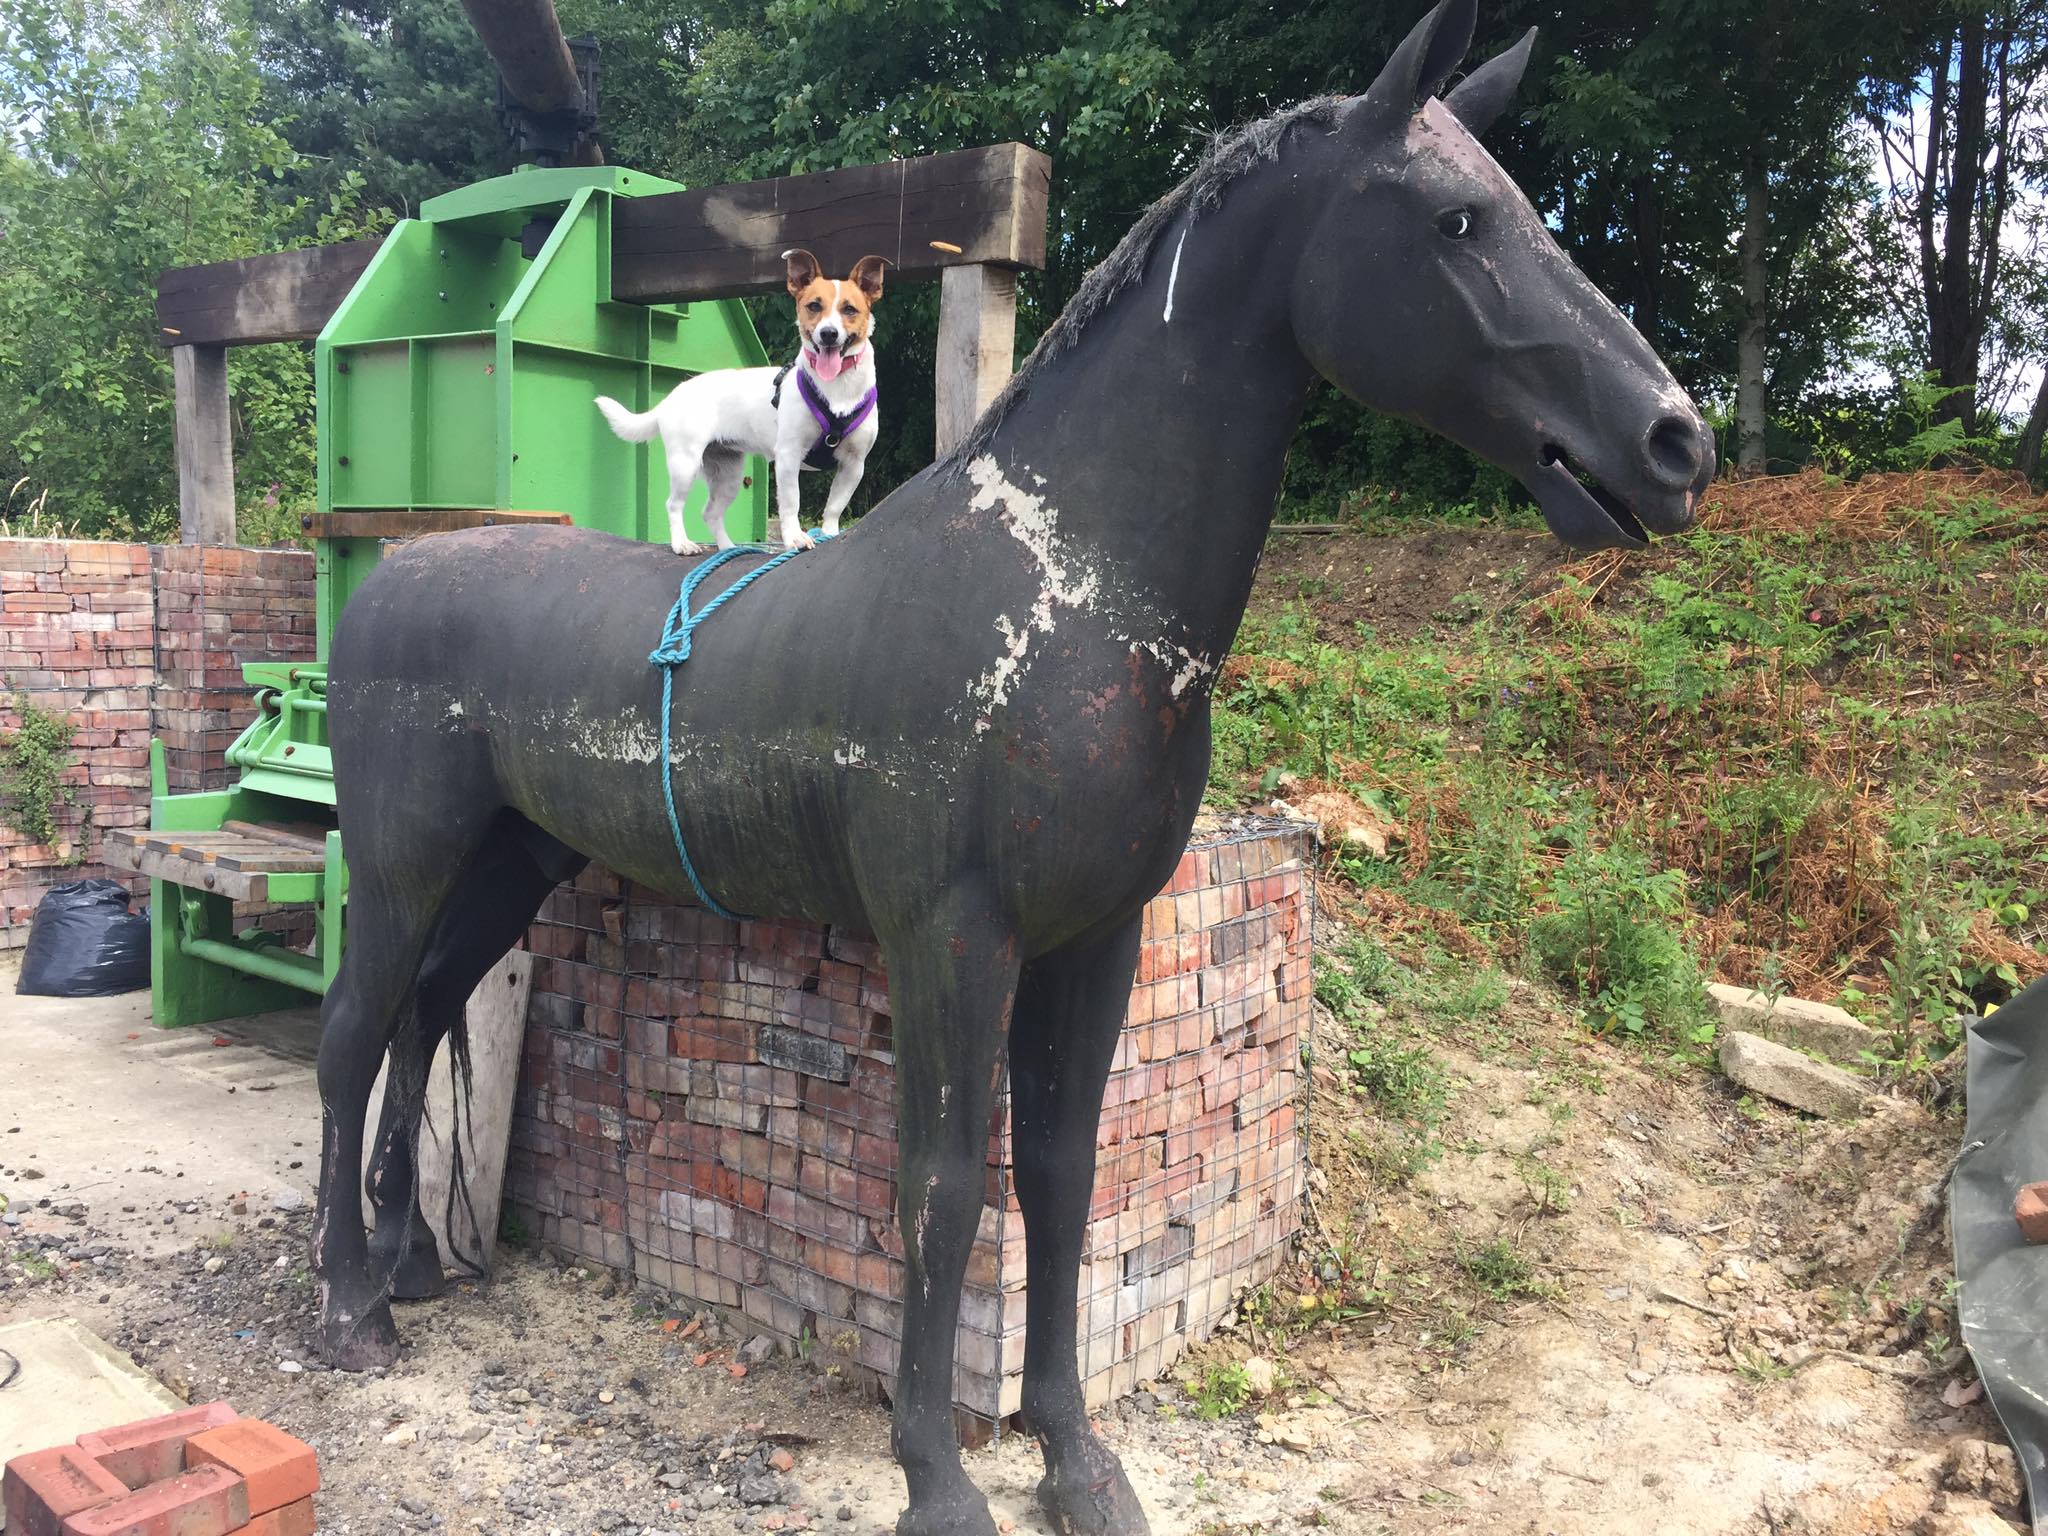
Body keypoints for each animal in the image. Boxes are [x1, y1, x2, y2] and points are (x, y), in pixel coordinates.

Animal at [593, 252, 880, 561]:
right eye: (814, 306)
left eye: (849, 309)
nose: (828, 334)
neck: (837, 390)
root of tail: (671, 398)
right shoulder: (788, 456)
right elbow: (791, 503)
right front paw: (795, 538)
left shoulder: (853, 465)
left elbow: (835, 506)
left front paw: (828, 534)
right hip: (685, 464)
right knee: (673, 504)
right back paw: (682, 543)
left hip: (728, 475)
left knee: (710, 513)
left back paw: (728, 548)